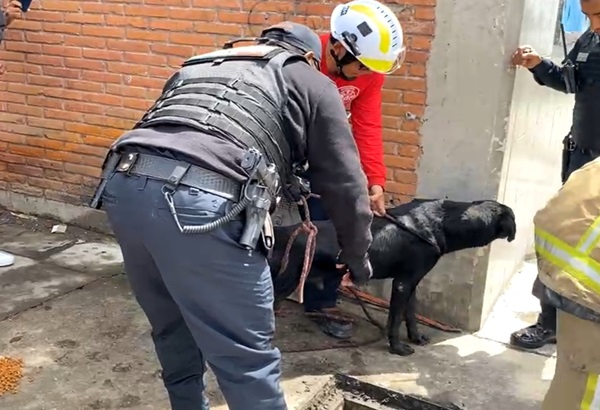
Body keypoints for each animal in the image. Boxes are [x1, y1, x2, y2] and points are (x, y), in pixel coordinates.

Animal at [268, 199, 516, 356]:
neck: (443, 222)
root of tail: (283, 232)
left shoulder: (412, 282)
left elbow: (411, 314)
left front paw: (416, 338)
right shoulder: (402, 284)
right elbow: (395, 320)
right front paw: (397, 348)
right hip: (284, 282)